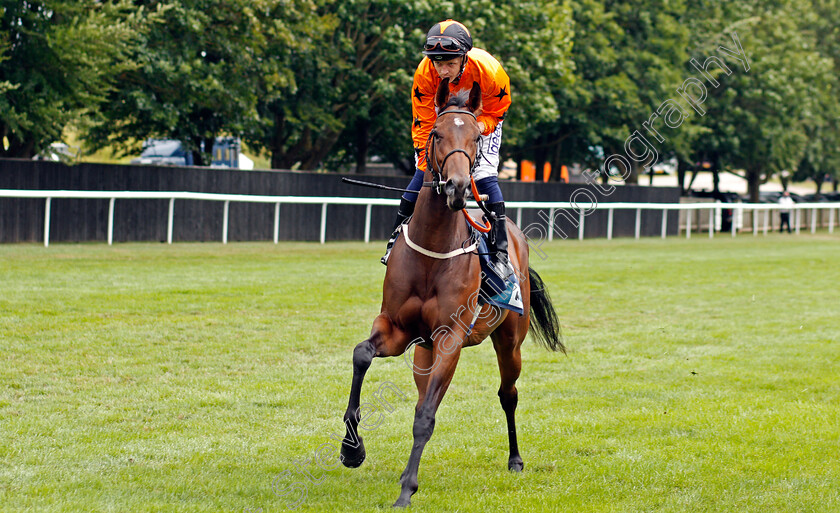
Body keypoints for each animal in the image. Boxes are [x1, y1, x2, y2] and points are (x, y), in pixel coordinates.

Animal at [338, 78, 560, 506]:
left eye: (475, 136)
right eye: (437, 133)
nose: (457, 187)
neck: (433, 251)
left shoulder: (450, 337)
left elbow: (425, 416)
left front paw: (406, 489)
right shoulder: (397, 329)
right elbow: (361, 355)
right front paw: (351, 448)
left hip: (509, 342)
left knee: (507, 394)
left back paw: (515, 459)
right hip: (423, 352)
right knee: (425, 392)